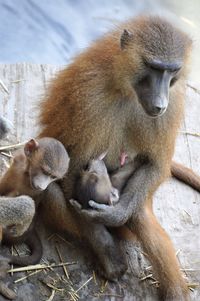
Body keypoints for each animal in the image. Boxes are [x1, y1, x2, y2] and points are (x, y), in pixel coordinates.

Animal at [38, 17, 196, 300]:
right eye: (153, 67)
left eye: (171, 71)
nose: (159, 104)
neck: (126, 86)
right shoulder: (87, 95)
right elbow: (73, 166)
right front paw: (107, 253)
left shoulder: (174, 102)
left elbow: (155, 165)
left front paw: (114, 215)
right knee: (52, 194)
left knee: (140, 215)